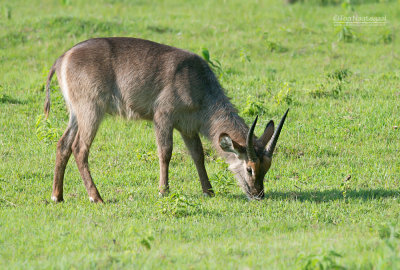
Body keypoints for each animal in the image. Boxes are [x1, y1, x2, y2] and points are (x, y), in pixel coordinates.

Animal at [45, 38, 290, 202]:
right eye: (249, 168)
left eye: (267, 167)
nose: (258, 195)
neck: (199, 84)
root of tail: (61, 59)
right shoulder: (163, 116)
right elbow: (165, 153)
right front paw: (164, 190)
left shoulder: (188, 127)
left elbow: (198, 155)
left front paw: (208, 191)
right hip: (91, 110)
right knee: (79, 148)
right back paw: (96, 197)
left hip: (75, 113)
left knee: (63, 144)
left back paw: (57, 196)